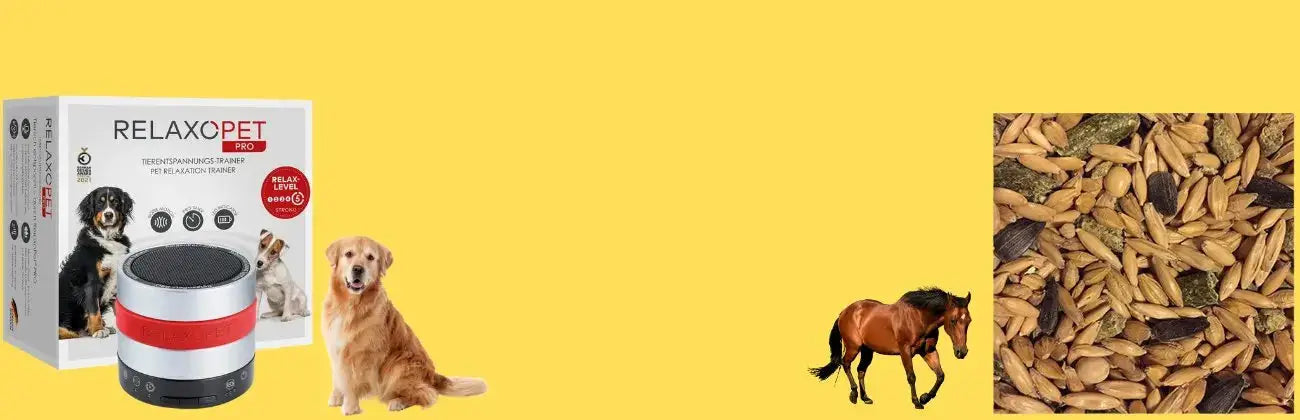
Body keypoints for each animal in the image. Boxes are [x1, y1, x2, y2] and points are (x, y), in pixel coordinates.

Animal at [808, 288, 971, 409]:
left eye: (969, 320)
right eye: (953, 320)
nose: (961, 352)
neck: (919, 318)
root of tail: (844, 312)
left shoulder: (928, 351)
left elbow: (940, 375)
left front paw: (925, 397)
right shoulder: (905, 351)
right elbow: (911, 376)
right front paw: (916, 402)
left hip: (867, 350)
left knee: (861, 370)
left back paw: (865, 397)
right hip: (853, 347)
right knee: (846, 364)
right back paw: (854, 394)